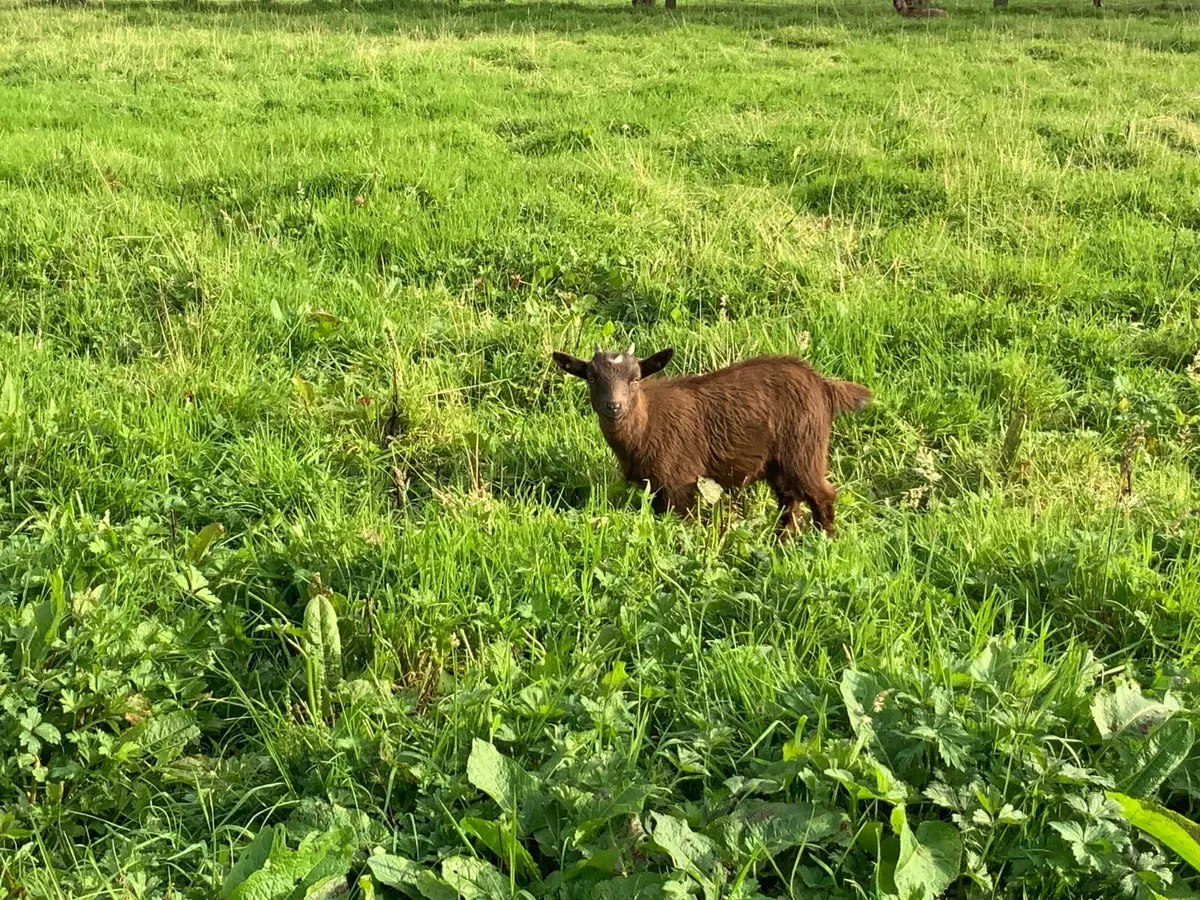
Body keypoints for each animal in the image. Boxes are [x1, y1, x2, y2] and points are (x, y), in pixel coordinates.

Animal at [552, 344, 871, 536]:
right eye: (592, 378)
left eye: (635, 378)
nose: (614, 406)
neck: (647, 424)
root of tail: (823, 385)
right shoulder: (654, 487)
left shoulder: (680, 483)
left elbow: (683, 525)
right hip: (779, 464)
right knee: (789, 501)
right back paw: (781, 542)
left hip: (804, 451)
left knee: (823, 496)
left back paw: (822, 542)